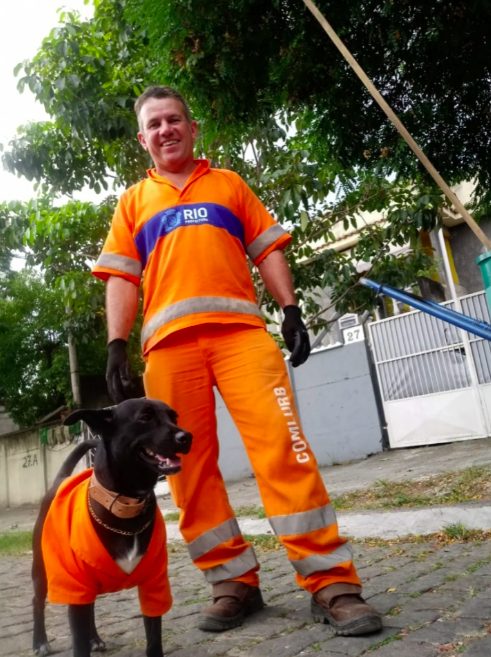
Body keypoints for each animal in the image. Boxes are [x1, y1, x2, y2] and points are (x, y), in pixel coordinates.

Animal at [31, 394, 192, 656]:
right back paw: (40, 641)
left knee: (91, 607)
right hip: (41, 569)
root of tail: (60, 479)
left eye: (173, 416)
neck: (125, 506)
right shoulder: (76, 588)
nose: (186, 437)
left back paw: (94, 638)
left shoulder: (154, 584)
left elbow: (154, 638)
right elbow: (78, 642)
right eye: (145, 417)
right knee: (38, 602)